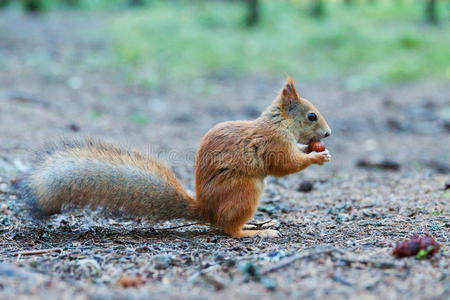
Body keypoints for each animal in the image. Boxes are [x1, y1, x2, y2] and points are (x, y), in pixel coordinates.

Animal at [20, 78, 330, 239]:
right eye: (311, 116)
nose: (328, 134)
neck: (280, 124)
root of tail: (206, 210)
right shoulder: (272, 143)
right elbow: (284, 165)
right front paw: (317, 158)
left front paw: (315, 150)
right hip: (245, 191)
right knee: (228, 229)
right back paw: (254, 233)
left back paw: (259, 224)